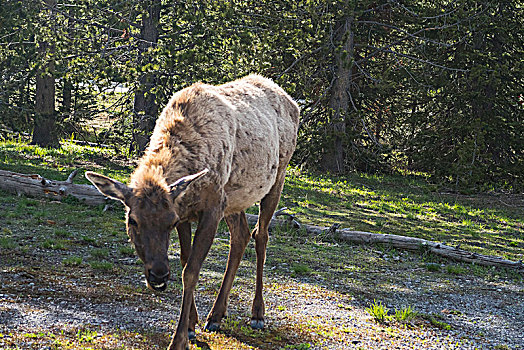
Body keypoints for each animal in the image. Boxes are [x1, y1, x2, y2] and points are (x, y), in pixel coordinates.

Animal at [86, 74, 298, 350]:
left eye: (168, 222)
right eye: (132, 221)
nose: (159, 275)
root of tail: (293, 103)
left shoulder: (210, 208)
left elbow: (191, 272)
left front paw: (179, 339)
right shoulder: (187, 212)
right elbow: (186, 260)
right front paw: (191, 325)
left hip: (277, 178)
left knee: (260, 235)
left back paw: (257, 313)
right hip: (234, 200)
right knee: (240, 235)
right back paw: (216, 314)